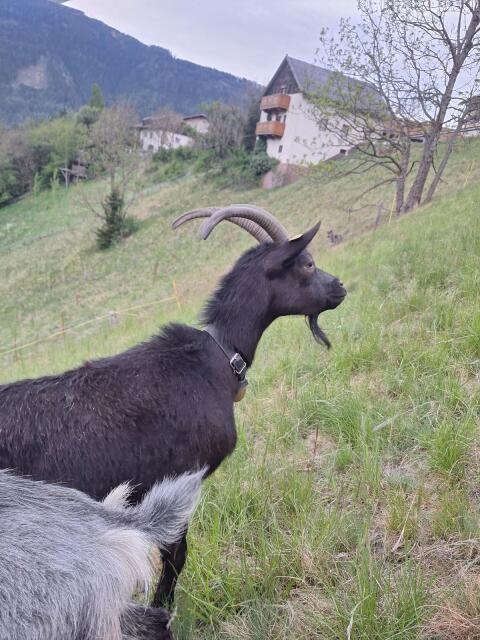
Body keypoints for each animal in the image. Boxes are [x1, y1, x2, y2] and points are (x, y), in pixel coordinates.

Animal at [0, 204, 346, 606]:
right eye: (307, 263)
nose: (340, 287)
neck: (216, 357)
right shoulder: (175, 482)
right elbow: (174, 556)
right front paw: (162, 608)